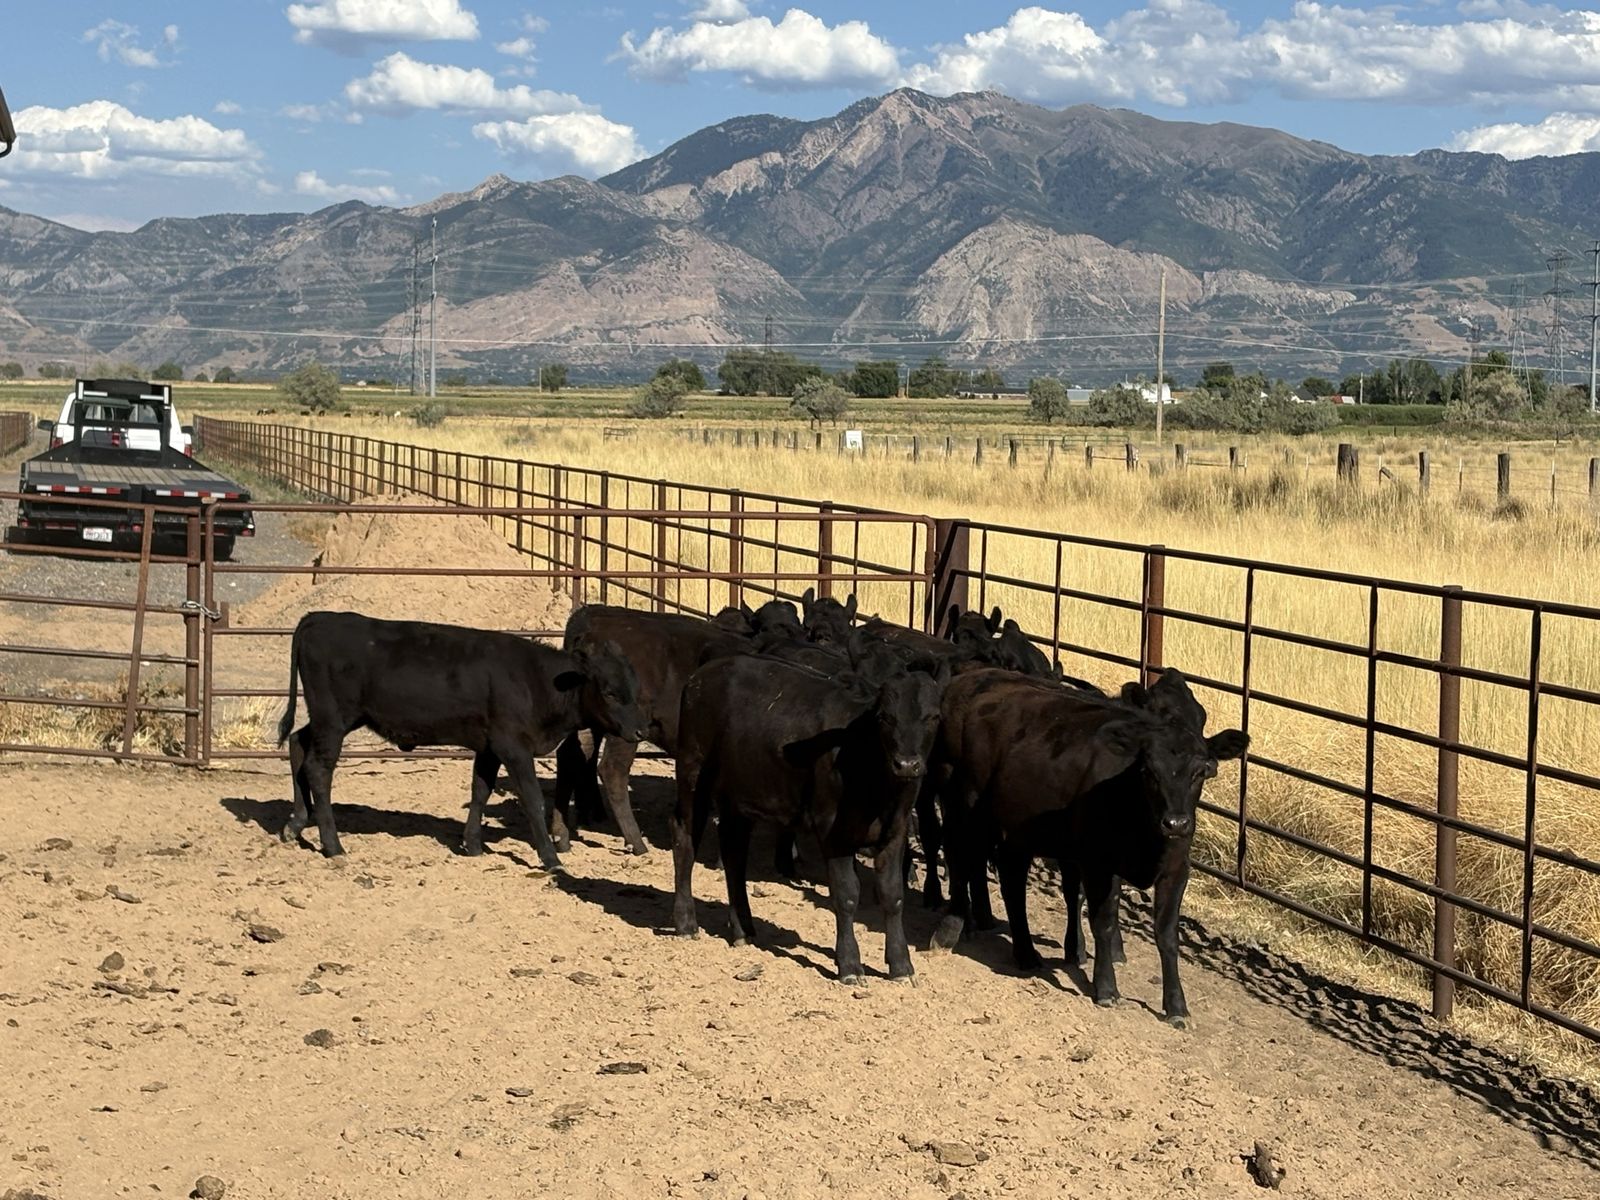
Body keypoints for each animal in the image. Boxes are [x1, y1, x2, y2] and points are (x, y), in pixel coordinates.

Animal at [276, 610, 645, 868]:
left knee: (296, 744)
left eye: (633, 687)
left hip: (332, 720)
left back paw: (295, 823)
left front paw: (473, 845)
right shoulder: (514, 748)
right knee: (318, 769)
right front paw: (550, 857)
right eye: (610, 692)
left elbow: (480, 791)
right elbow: (532, 800)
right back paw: (332, 845)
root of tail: (319, 617)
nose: (639, 730)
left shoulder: (489, 748)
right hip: (333, 721)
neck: (535, 681)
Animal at [671, 651, 950, 983]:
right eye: (884, 717)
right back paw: (686, 923)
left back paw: (743, 929)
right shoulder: (833, 830)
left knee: (734, 854)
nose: (906, 764)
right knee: (685, 839)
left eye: (933, 717)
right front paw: (850, 964)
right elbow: (846, 894)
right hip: (693, 774)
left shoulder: (895, 831)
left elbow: (893, 895)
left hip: (738, 796)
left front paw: (901, 965)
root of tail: (702, 675)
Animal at [931, 668, 1246, 1025]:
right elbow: (1103, 922)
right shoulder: (1098, 863)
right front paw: (1106, 987)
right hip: (962, 805)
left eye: (1198, 772)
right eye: (1149, 771)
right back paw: (953, 928)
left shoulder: (1176, 869)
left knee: (1011, 884)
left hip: (1015, 830)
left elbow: (1166, 935)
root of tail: (971, 677)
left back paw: (1024, 952)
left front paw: (1176, 1006)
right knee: (960, 856)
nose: (1176, 823)